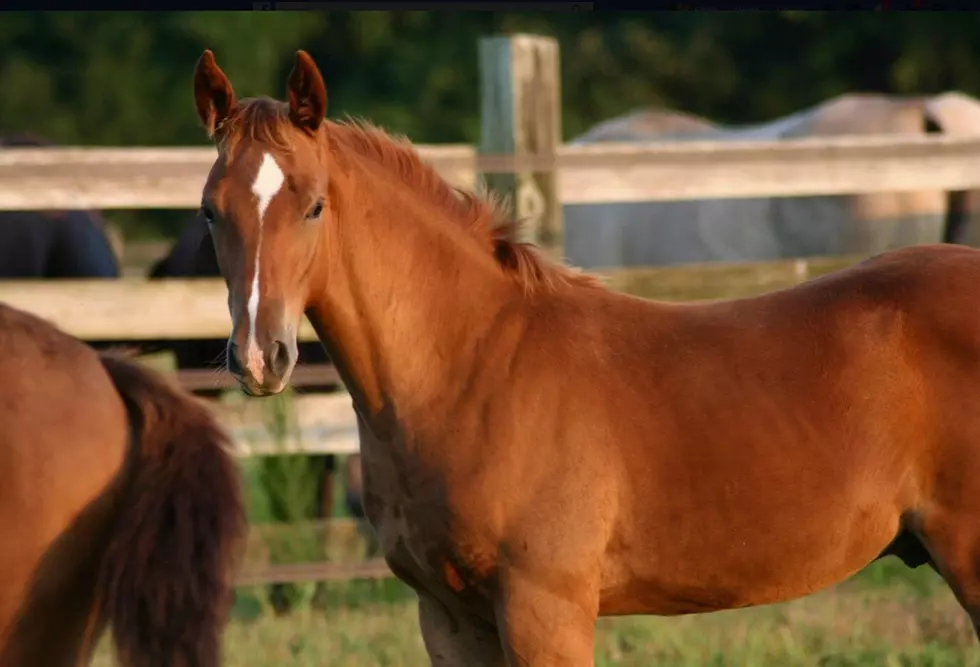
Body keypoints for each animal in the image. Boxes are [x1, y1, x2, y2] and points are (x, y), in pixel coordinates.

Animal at [191, 49, 980, 664]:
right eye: (209, 210)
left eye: (314, 205)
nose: (261, 357)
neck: (471, 368)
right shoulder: (449, 616)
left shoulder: (546, 610)